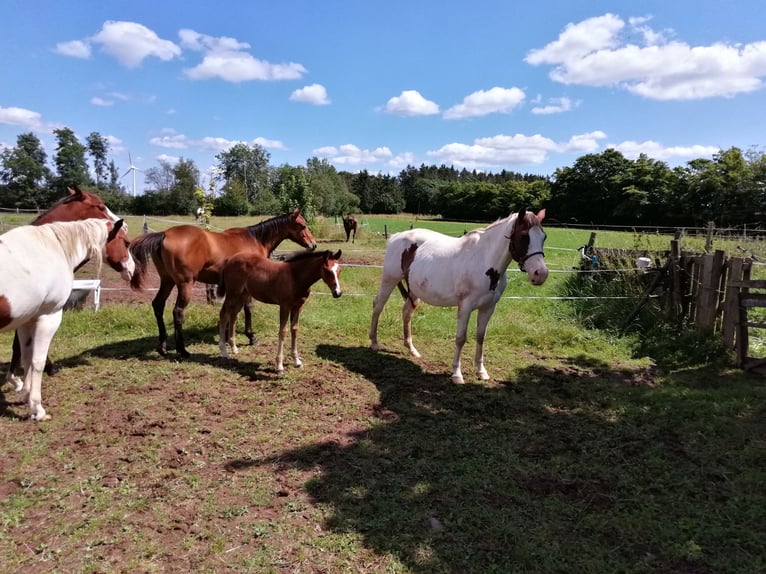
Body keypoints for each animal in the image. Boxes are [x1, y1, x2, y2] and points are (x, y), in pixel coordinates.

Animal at [0, 218, 132, 420]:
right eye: (126, 242)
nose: (132, 270)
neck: (53, 248)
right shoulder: (48, 318)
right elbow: (38, 361)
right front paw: (38, 409)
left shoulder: (26, 321)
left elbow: (27, 357)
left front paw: (26, 396)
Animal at [130, 209, 316, 358]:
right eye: (302, 225)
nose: (313, 244)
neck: (255, 240)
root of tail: (164, 234)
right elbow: (248, 309)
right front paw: (250, 336)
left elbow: (231, 312)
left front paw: (227, 337)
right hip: (185, 284)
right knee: (178, 312)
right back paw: (182, 350)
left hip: (167, 282)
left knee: (158, 305)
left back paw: (162, 347)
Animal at [368, 209, 548, 384]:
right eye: (524, 236)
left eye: (544, 236)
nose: (541, 274)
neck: (484, 262)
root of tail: (396, 237)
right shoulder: (465, 306)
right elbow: (461, 338)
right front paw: (456, 374)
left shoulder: (488, 308)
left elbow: (481, 337)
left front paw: (481, 372)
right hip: (389, 280)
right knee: (378, 305)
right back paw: (374, 343)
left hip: (414, 289)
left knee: (406, 312)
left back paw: (412, 349)